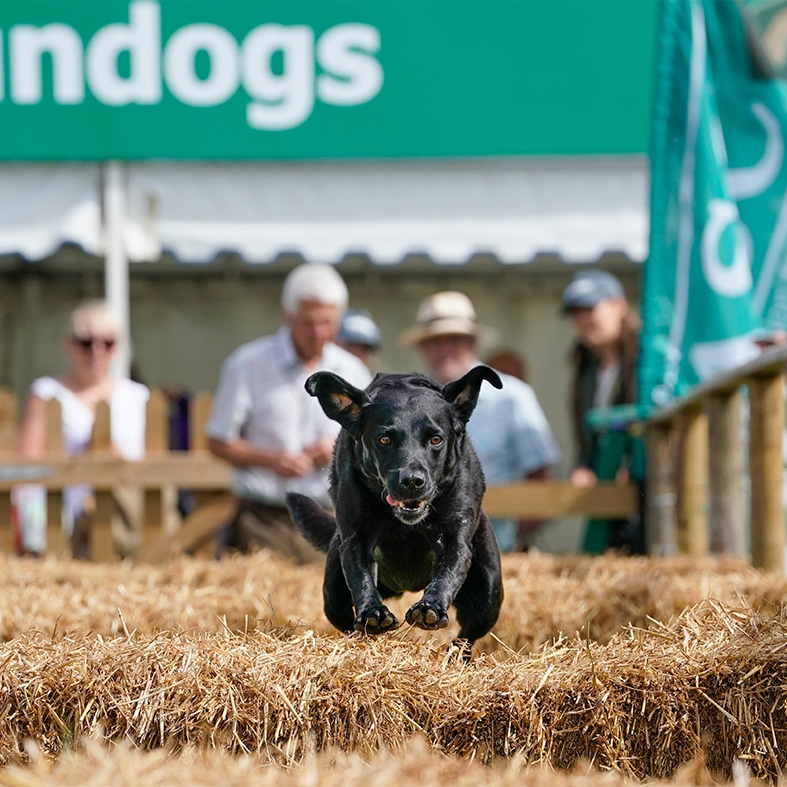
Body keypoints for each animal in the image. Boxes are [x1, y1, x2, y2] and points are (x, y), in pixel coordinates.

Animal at [286, 366, 502, 648]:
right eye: (385, 439)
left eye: (436, 439)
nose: (411, 482)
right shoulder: (356, 536)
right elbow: (361, 576)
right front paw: (373, 613)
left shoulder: (456, 536)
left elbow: (448, 572)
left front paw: (430, 608)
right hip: (333, 590)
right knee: (346, 621)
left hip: (488, 593)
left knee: (465, 639)